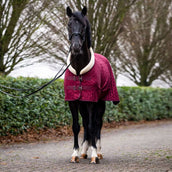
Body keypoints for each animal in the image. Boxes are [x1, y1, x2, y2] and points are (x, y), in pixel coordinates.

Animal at [63, 6, 119, 164]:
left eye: (83, 26)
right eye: (69, 24)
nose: (76, 47)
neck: (79, 71)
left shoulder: (92, 101)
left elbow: (92, 125)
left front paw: (94, 154)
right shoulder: (73, 101)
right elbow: (77, 126)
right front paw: (75, 153)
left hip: (100, 103)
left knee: (97, 124)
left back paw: (98, 152)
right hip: (83, 105)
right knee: (86, 124)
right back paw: (83, 151)